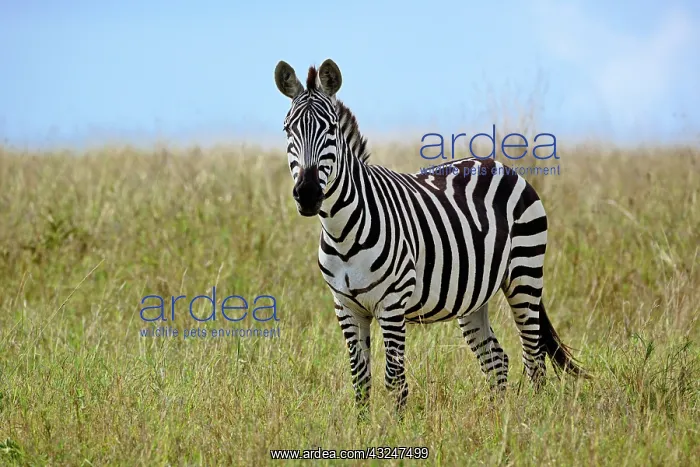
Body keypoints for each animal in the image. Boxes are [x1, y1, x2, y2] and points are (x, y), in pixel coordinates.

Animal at [273, 59, 587, 414]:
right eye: (288, 130)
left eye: (330, 130)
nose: (308, 194)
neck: (342, 233)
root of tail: (497, 162)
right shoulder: (346, 307)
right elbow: (360, 380)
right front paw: (363, 426)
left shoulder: (393, 303)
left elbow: (395, 381)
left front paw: (394, 428)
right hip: (473, 295)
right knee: (497, 359)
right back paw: (496, 418)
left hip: (525, 273)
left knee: (533, 356)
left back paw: (533, 418)